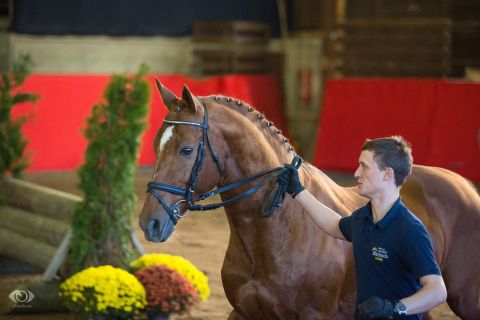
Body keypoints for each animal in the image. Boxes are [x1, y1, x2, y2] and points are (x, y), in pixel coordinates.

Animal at [139, 81, 480, 318]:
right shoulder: (243, 312)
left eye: (186, 150)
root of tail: (465, 187)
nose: (149, 223)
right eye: (156, 145)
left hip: (467, 298)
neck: (273, 231)